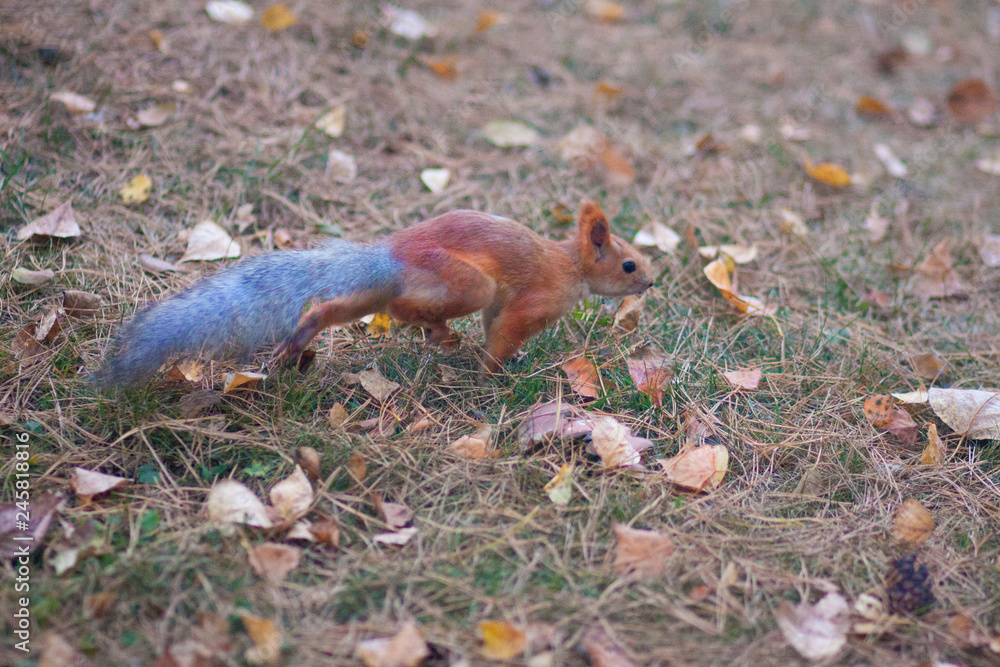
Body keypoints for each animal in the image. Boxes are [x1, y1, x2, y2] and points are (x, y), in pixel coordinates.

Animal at [94, 201, 652, 386]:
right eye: (628, 263)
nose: (651, 282)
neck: (571, 266)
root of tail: (390, 256)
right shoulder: (534, 301)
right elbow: (504, 334)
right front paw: (492, 376)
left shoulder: (503, 305)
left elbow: (496, 325)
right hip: (463, 281)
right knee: (406, 310)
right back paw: (439, 335)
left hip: (370, 294)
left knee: (332, 309)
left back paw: (295, 346)